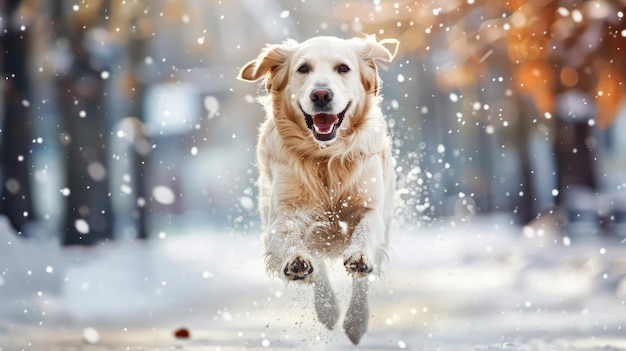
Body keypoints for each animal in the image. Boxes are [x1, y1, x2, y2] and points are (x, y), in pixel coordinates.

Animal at [236, 35, 398, 346]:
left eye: (343, 68)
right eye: (303, 69)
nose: (321, 95)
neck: (325, 157)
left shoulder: (371, 208)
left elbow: (365, 233)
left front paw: (359, 258)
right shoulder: (282, 214)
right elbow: (290, 237)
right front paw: (296, 262)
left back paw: (355, 322)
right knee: (318, 261)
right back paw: (327, 308)